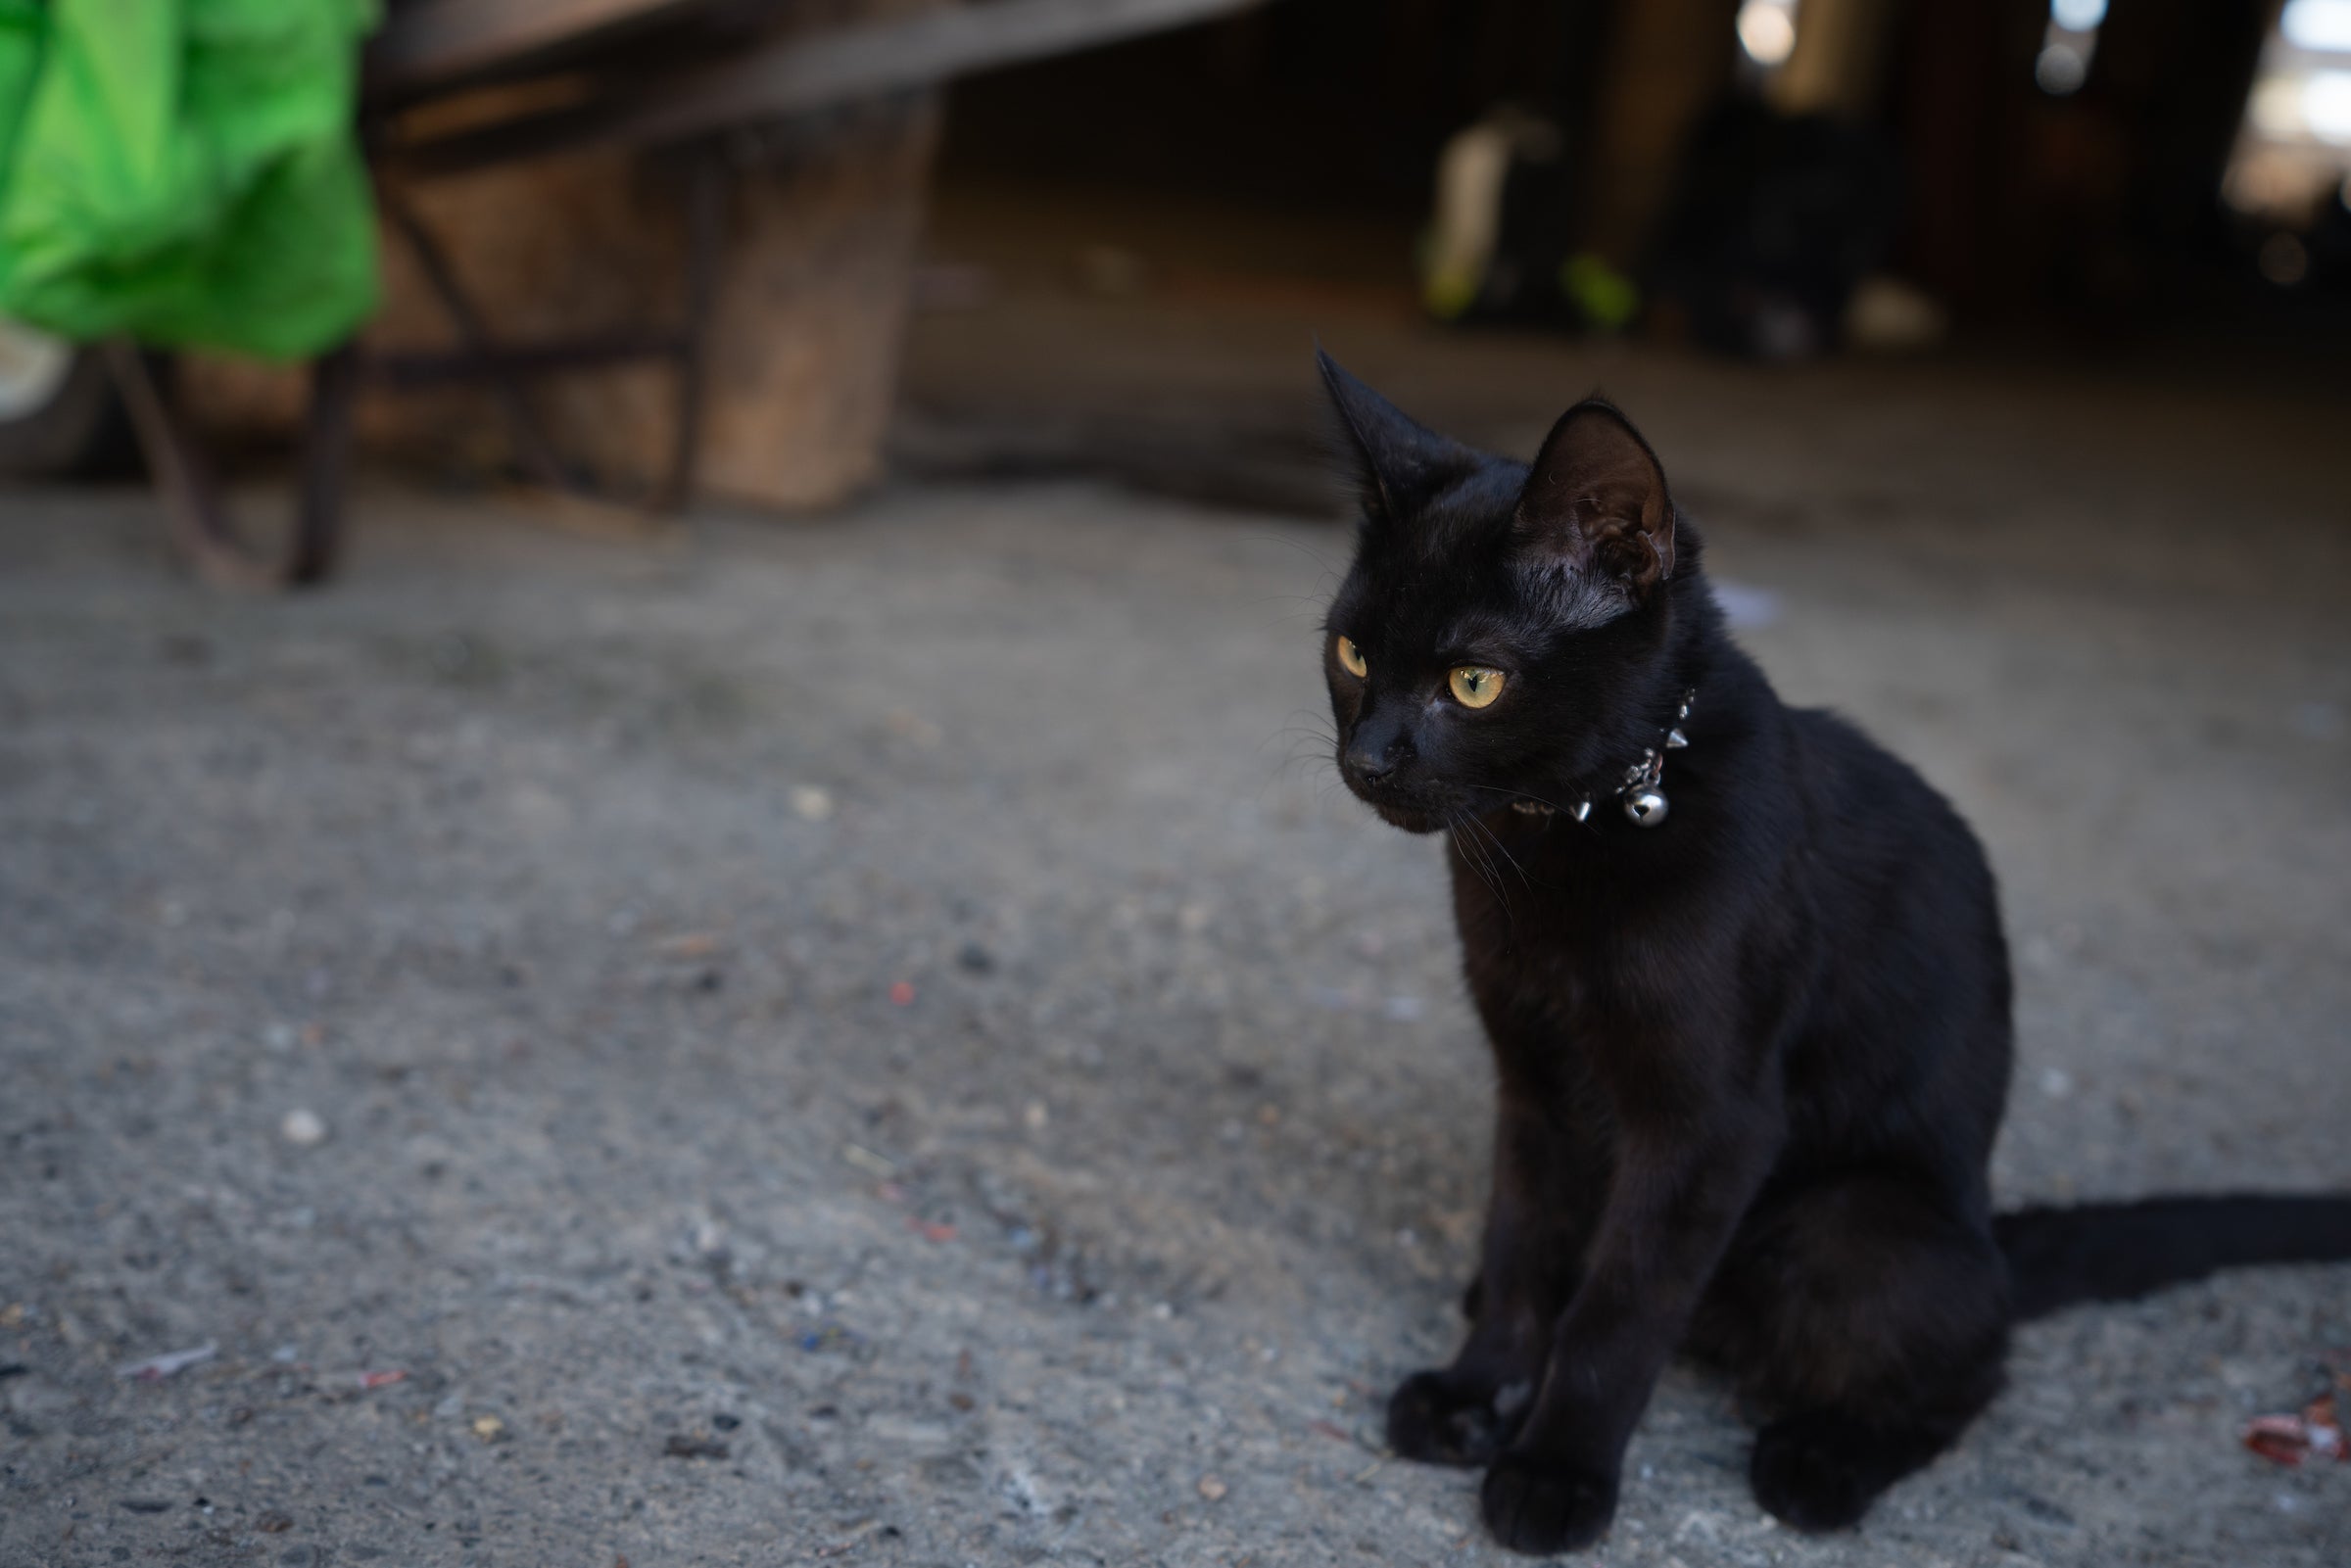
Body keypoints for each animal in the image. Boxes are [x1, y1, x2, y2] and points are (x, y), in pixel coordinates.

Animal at [1317, 355, 2351, 1560]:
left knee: (1967, 1363)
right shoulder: (1530, 1082)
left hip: (1850, 1228)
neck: (1567, 835)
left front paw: (1556, 1469)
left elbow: (1622, 1305)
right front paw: (1476, 1392)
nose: (1366, 757)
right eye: (1351, 653)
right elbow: (1528, 1242)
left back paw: (1823, 1461)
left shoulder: (1713, 1125)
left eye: (1472, 682)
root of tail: (1986, 1229)